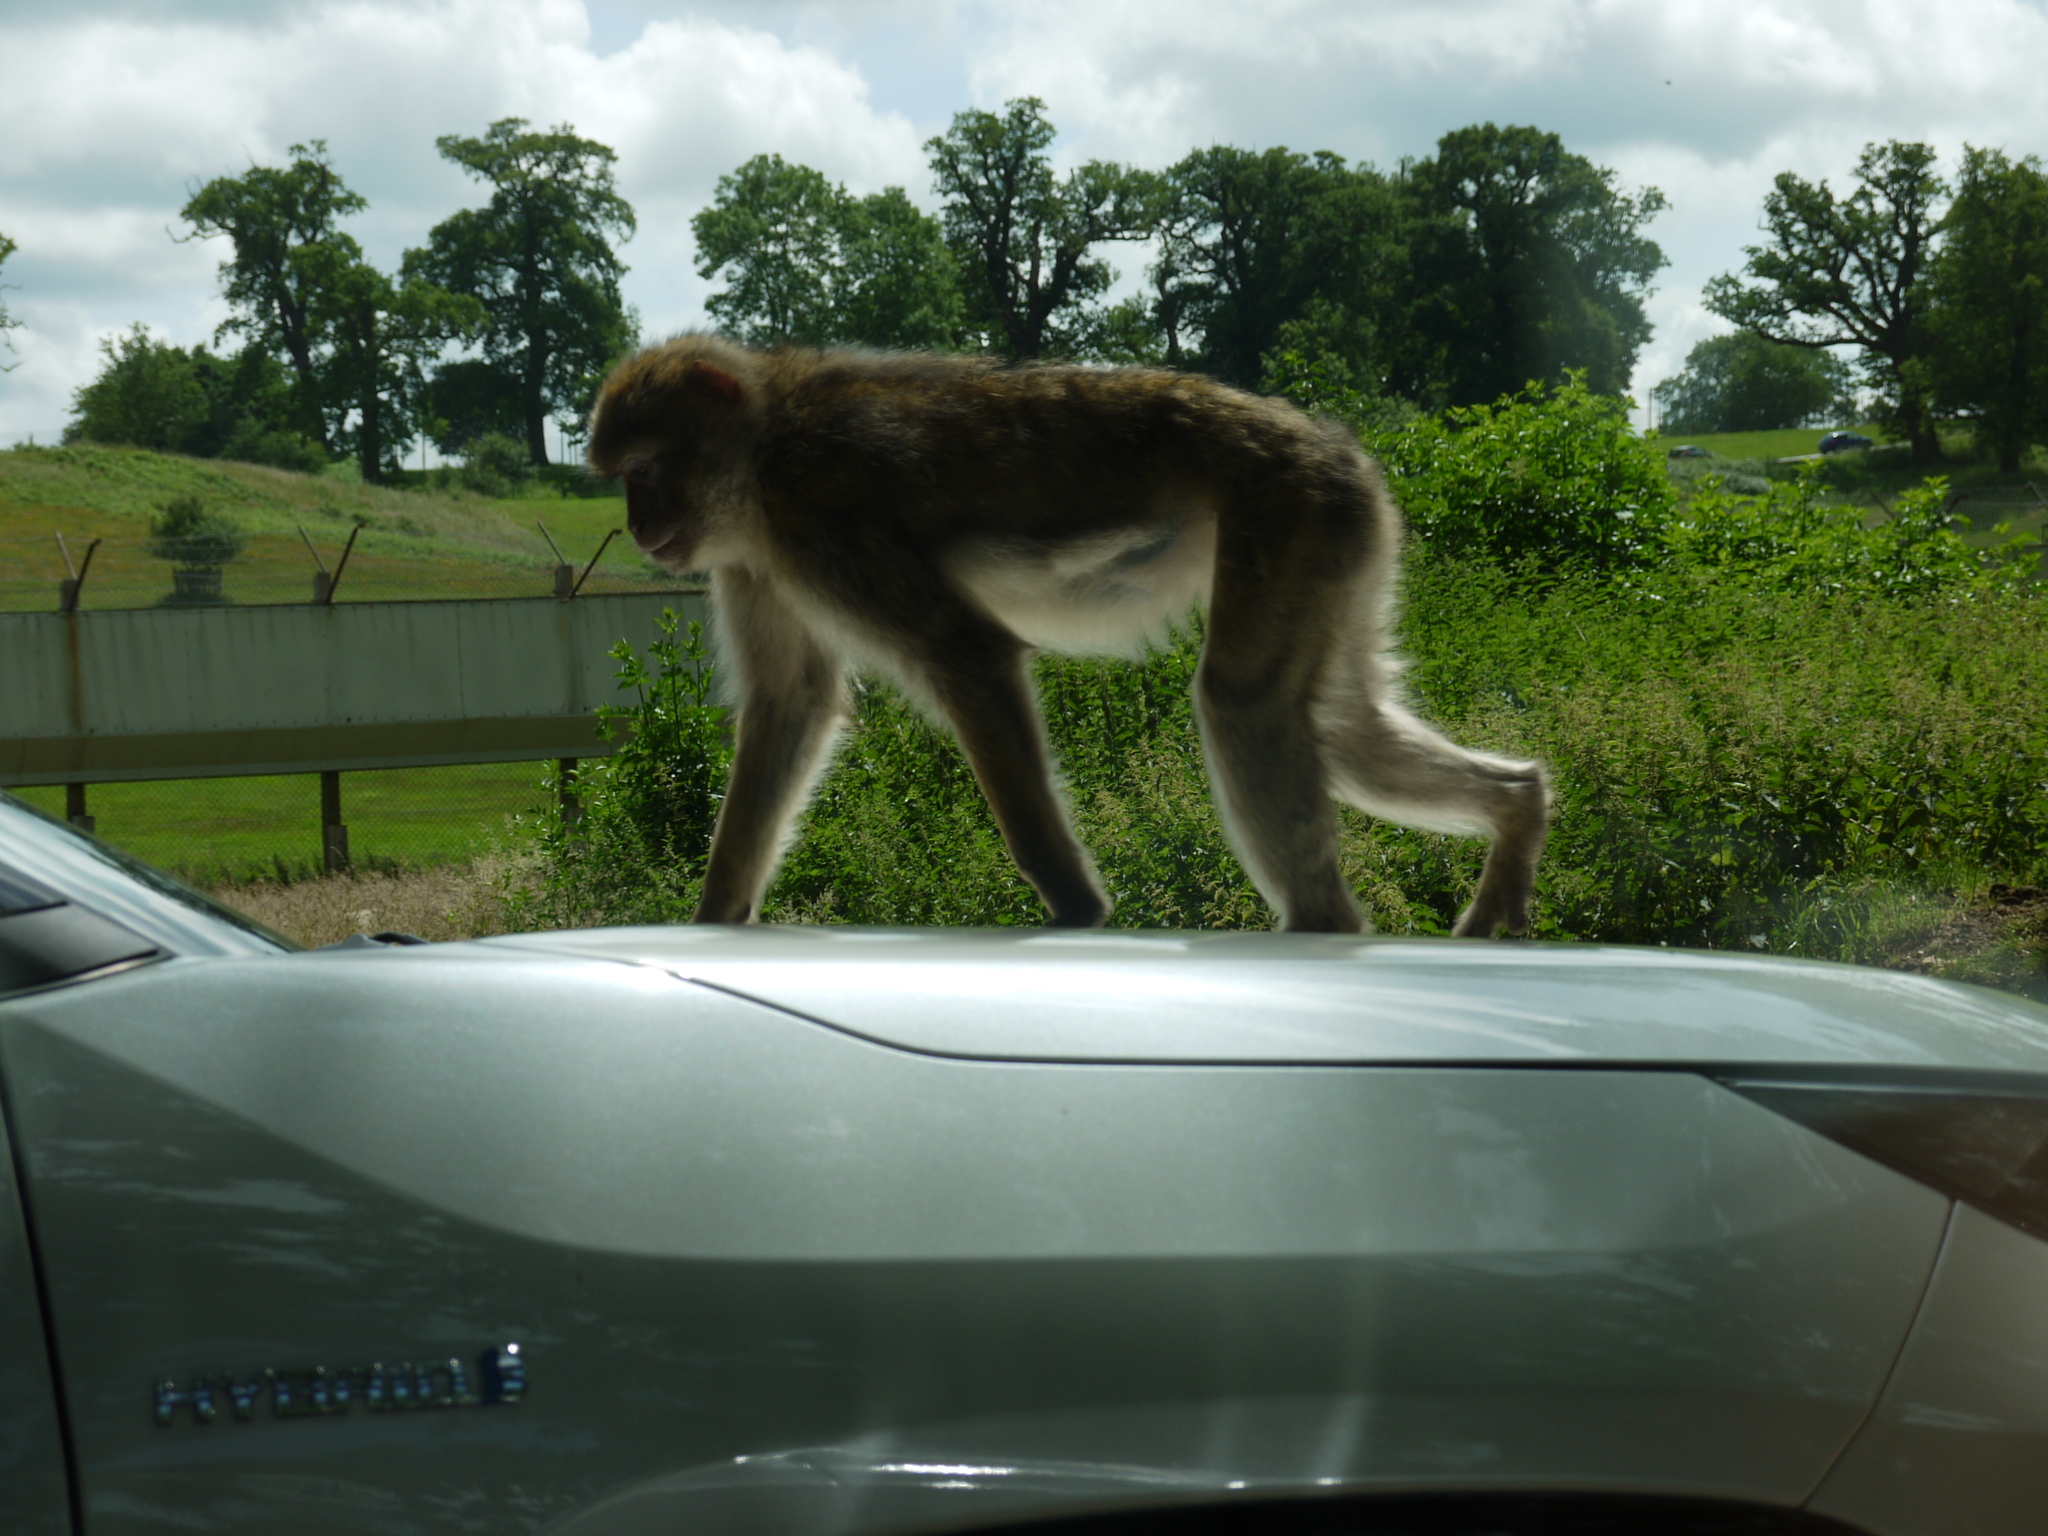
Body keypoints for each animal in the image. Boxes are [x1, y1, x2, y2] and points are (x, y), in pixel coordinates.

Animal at [585, 337, 1540, 937]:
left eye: (642, 471)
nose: (637, 526)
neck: (761, 453)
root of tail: (1346, 450)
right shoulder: (751, 559)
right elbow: (793, 701)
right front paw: (715, 914)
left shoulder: (814, 521)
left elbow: (966, 654)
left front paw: (1078, 906)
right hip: (1342, 542)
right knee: (1342, 726)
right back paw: (1515, 808)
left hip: (1290, 510)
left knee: (1245, 702)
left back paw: (1323, 922)